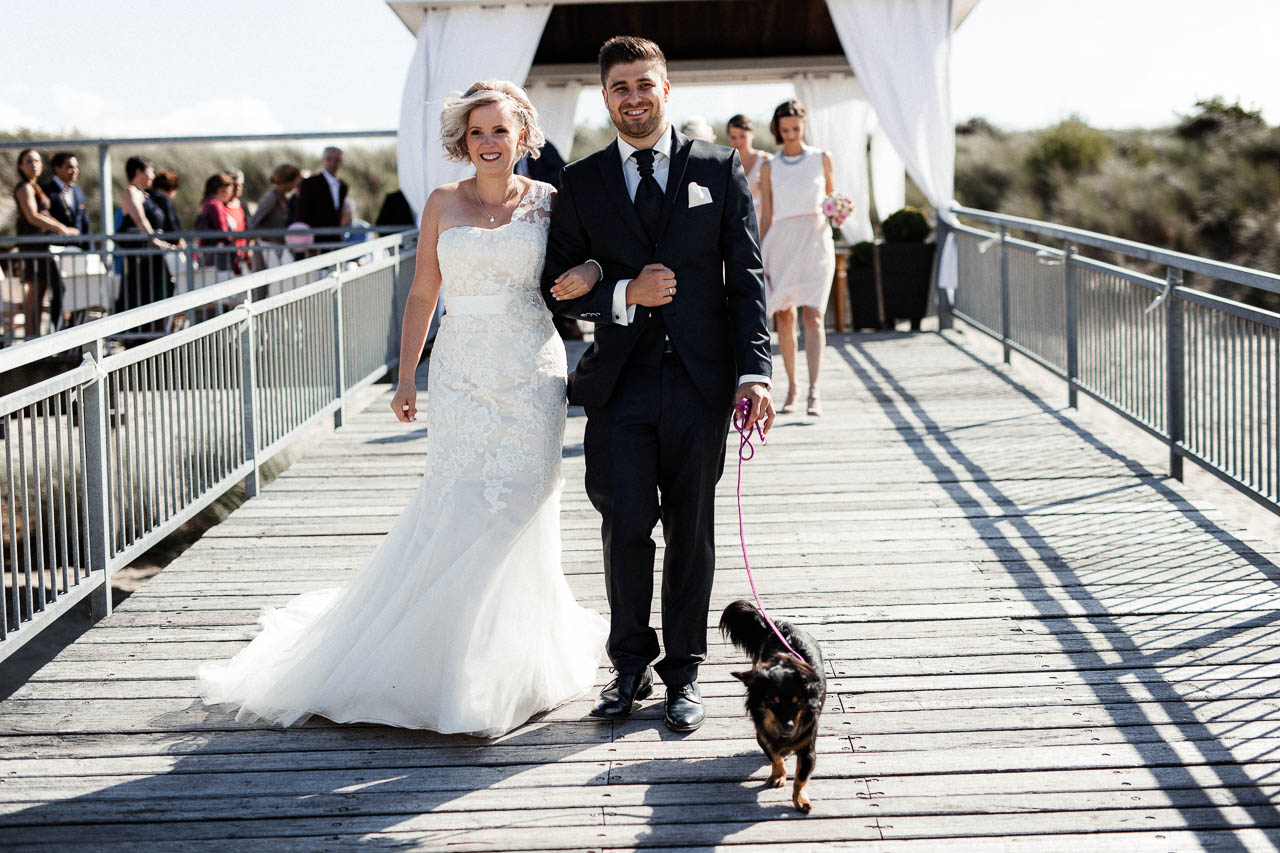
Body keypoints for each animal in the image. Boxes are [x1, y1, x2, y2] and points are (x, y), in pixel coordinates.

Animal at [716, 596, 824, 809]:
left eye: (798, 703)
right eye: (771, 702)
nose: (788, 726)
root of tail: (779, 625)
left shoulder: (808, 749)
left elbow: (801, 777)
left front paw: (800, 800)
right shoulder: (763, 736)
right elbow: (775, 756)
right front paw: (778, 775)